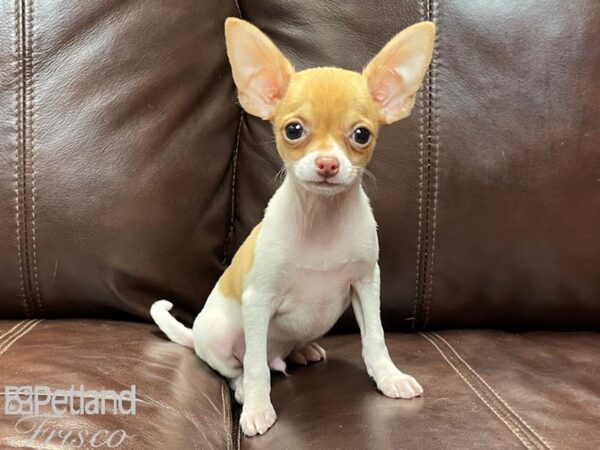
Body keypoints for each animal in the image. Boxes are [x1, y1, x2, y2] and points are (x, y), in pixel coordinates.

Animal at [152, 17, 434, 436]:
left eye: (362, 135)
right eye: (294, 130)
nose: (327, 164)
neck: (321, 219)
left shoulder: (366, 284)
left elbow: (375, 338)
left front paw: (389, 377)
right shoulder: (258, 300)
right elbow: (254, 366)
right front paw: (256, 408)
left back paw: (301, 350)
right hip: (217, 336)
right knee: (238, 367)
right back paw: (244, 388)